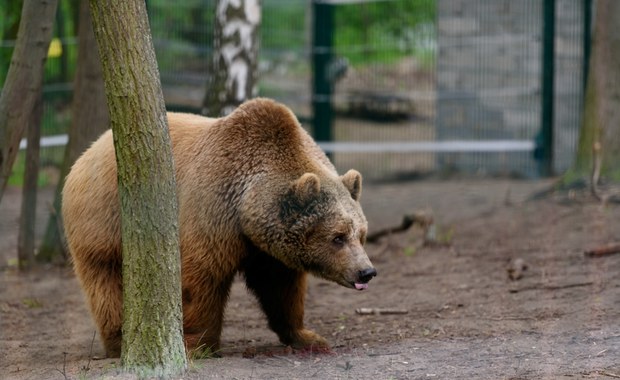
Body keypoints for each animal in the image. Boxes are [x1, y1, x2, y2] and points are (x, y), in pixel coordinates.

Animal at [63, 97, 376, 356]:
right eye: (337, 237)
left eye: (361, 234)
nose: (366, 271)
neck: (246, 210)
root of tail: (92, 148)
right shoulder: (212, 213)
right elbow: (201, 279)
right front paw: (199, 344)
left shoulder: (269, 249)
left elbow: (281, 287)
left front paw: (307, 336)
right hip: (104, 218)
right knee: (106, 280)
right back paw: (119, 340)